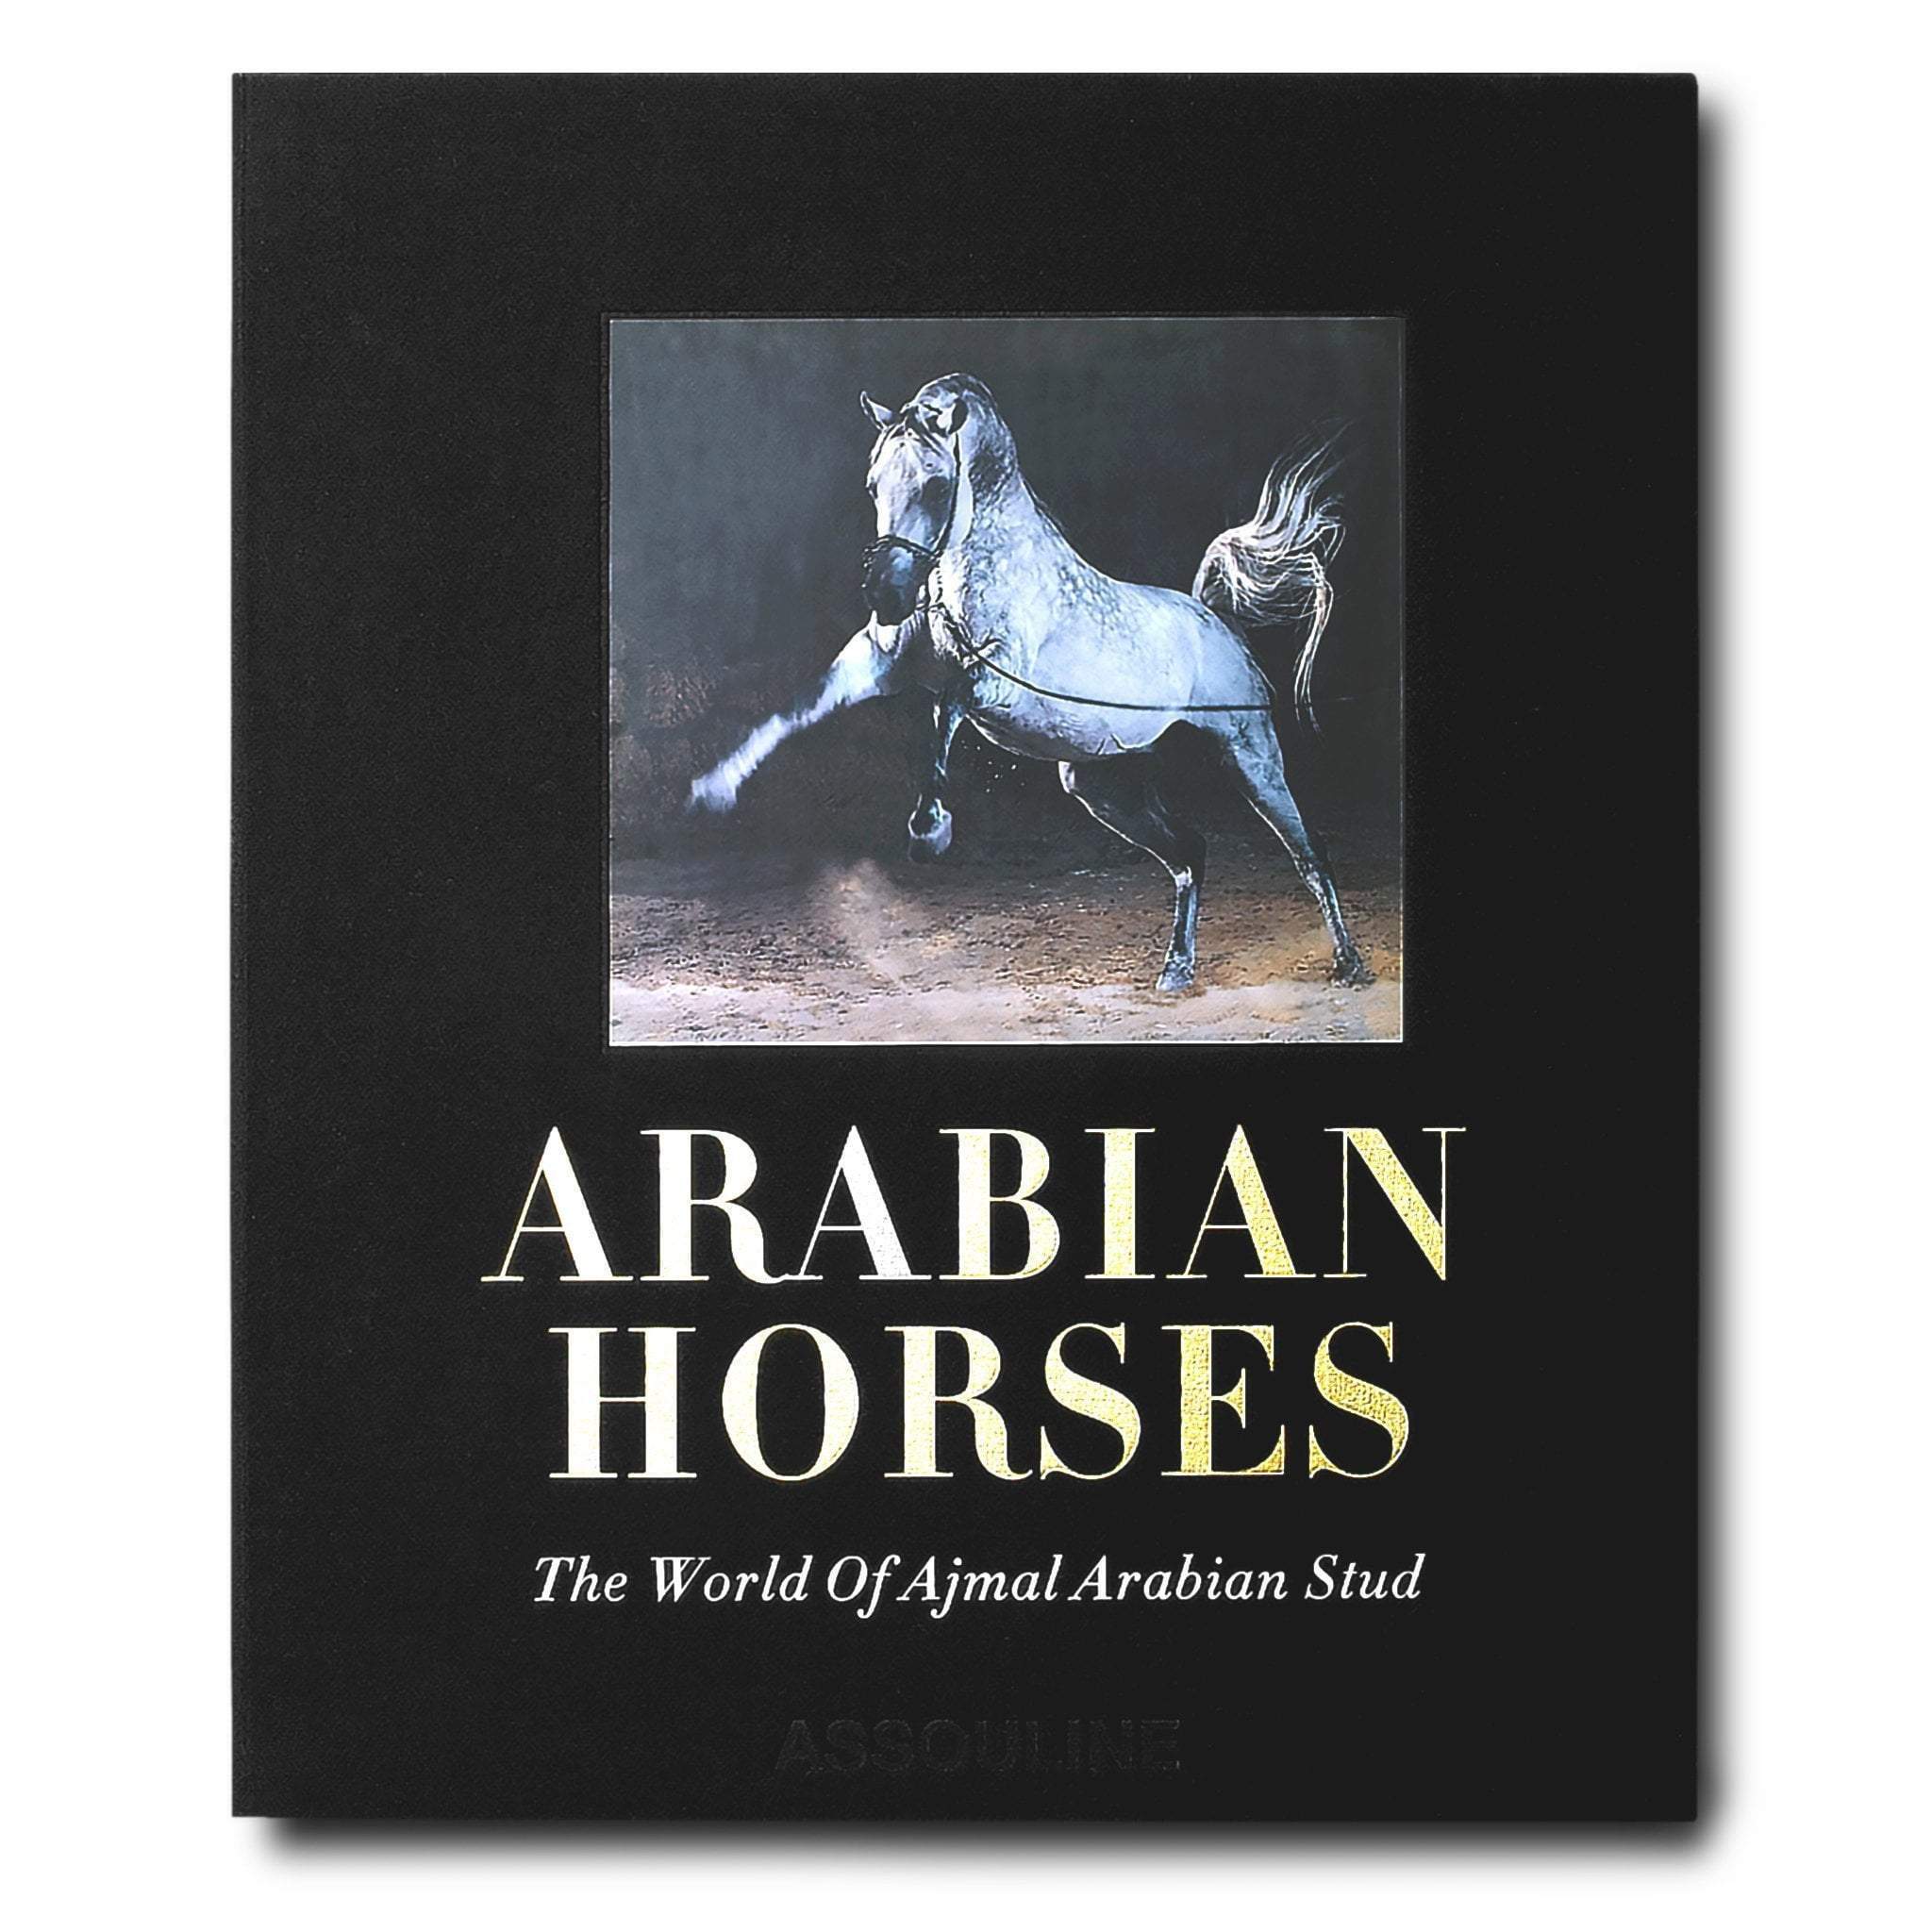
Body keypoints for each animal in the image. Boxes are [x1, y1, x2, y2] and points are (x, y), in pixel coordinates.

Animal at [687, 373, 1370, 991]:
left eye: (936, 483)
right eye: (873, 483)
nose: (887, 597)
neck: (959, 575)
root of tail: (1211, 616)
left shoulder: (1000, 683)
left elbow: (946, 708)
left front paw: (929, 829)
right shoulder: (876, 662)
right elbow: (796, 710)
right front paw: (711, 790)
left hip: (1249, 755)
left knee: (1308, 852)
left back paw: (1349, 965)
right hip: (1104, 785)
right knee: (1189, 854)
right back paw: (1177, 969)